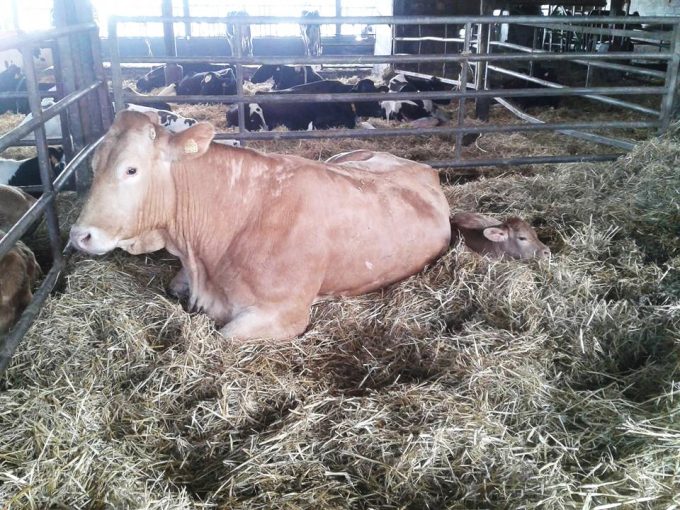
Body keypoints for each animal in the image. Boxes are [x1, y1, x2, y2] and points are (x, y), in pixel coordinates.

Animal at [69, 112, 451, 341]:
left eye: (131, 169)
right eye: (93, 166)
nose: (78, 235)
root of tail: (424, 168)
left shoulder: (283, 315)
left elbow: (221, 335)